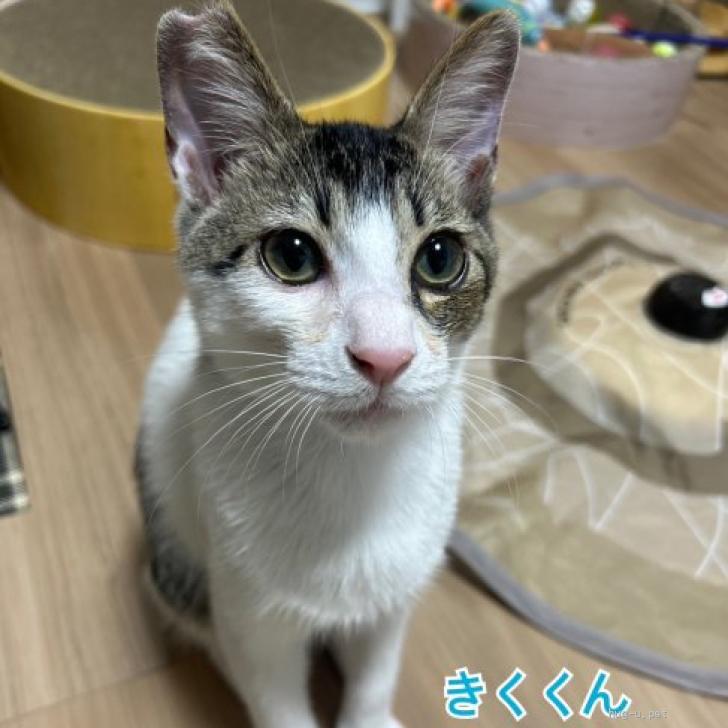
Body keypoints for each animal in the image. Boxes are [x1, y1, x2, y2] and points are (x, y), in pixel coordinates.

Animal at [136, 2, 519, 727]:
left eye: (440, 259)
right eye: (291, 255)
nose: (385, 355)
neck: (352, 479)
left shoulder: (398, 589)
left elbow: (377, 666)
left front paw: (371, 710)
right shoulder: (249, 606)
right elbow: (272, 691)